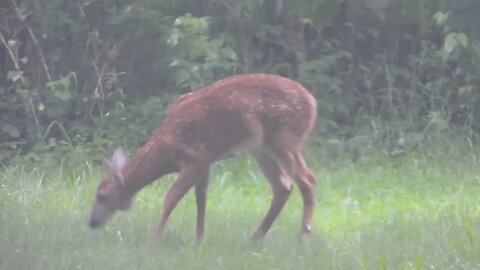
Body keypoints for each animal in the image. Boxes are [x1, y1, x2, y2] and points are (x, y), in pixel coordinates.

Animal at [88, 73, 316, 245]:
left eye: (103, 196)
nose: (92, 222)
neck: (165, 149)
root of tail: (312, 103)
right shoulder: (206, 162)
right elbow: (201, 199)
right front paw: (199, 241)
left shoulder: (195, 158)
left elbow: (171, 197)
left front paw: (153, 239)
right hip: (260, 148)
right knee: (283, 185)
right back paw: (254, 239)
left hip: (284, 137)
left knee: (308, 181)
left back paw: (302, 242)